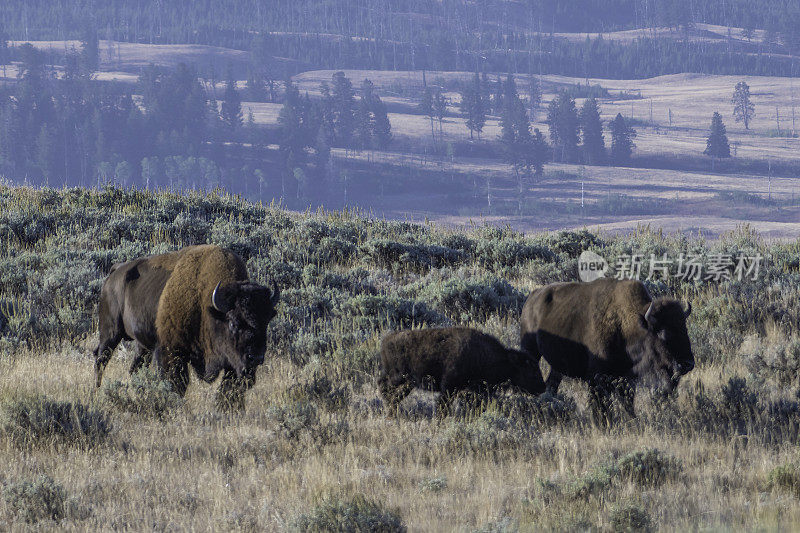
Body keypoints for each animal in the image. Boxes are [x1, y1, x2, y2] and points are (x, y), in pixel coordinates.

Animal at [92, 243, 280, 410]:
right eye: (233, 322)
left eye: (266, 321)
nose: (256, 357)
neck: (208, 306)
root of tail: (115, 272)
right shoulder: (172, 350)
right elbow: (178, 383)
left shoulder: (233, 363)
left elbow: (229, 389)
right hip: (110, 332)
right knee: (101, 359)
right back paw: (97, 390)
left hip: (142, 345)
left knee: (135, 368)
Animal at [380, 324, 544, 416]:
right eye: (532, 371)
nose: (542, 387)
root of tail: (386, 340)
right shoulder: (448, 388)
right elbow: (443, 406)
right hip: (398, 377)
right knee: (383, 387)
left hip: (407, 383)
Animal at [520, 276, 692, 418]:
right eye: (663, 332)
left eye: (685, 328)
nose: (687, 364)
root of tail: (532, 298)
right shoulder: (596, 378)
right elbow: (601, 406)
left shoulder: (628, 378)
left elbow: (627, 402)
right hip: (530, 349)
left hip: (557, 366)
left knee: (552, 384)